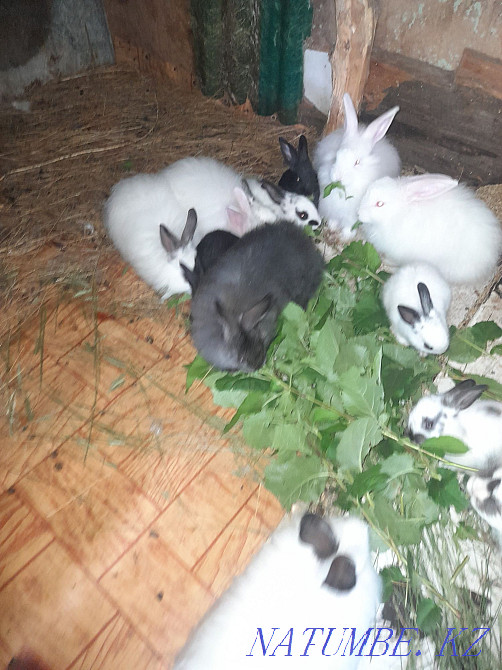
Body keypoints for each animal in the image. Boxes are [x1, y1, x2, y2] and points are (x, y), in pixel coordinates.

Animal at [313, 93, 400, 241]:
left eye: (357, 162)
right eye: (336, 156)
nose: (338, 177)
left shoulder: (351, 217)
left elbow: (348, 226)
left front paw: (346, 236)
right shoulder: (332, 210)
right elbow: (333, 220)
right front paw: (332, 227)